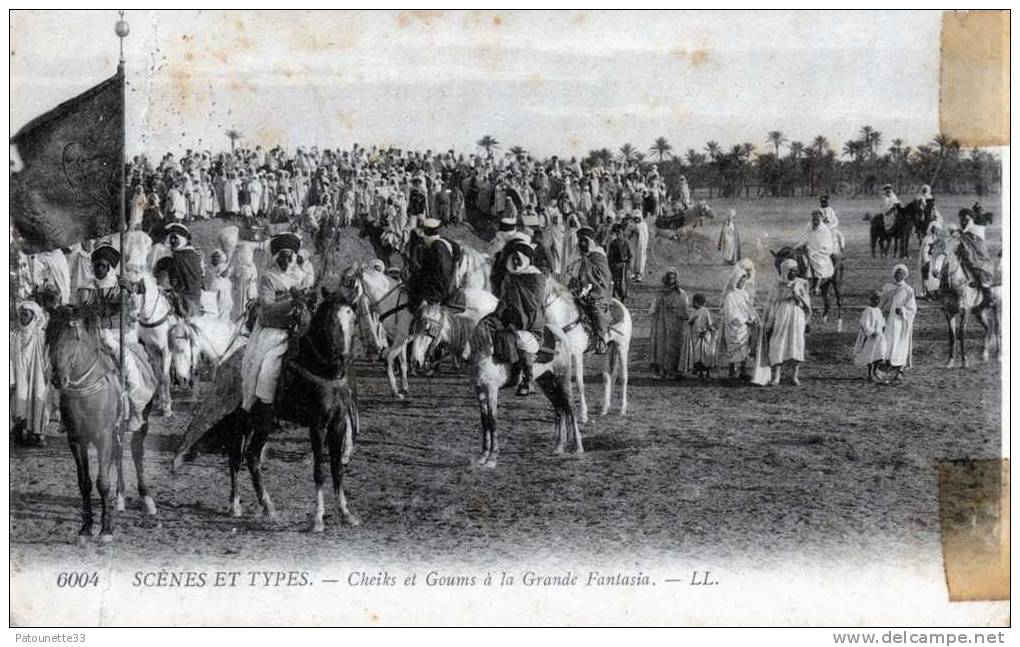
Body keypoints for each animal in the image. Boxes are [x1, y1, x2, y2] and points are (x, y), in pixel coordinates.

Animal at [46, 304, 157, 542]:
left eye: (75, 337)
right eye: (49, 335)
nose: (58, 378)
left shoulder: (103, 436)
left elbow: (102, 482)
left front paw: (106, 529)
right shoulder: (76, 440)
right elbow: (85, 483)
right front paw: (86, 528)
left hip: (141, 421)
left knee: (136, 453)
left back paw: (146, 499)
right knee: (119, 454)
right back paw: (120, 497)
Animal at [175, 287, 363, 530]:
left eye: (353, 319)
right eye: (331, 320)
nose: (345, 358)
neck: (320, 370)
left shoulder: (337, 424)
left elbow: (337, 469)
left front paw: (345, 512)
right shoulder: (317, 426)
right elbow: (319, 471)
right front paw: (318, 518)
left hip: (261, 423)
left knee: (251, 457)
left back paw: (266, 505)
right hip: (245, 422)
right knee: (238, 458)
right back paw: (239, 505)